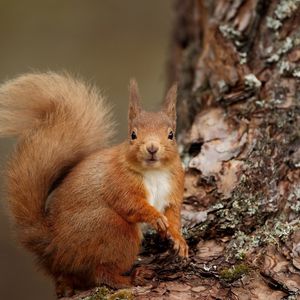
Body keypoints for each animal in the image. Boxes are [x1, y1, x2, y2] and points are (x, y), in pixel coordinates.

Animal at [0, 72, 188, 298]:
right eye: (133, 135)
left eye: (171, 135)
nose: (152, 148)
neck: (154, 172)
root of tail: (53, 247)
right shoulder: (117, 182)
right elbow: (131, 204)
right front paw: (155, 217)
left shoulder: (173, 189)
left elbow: (173, 215)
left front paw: (178, 240)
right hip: (113, 231)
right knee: (101, 273)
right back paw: (131, 278)